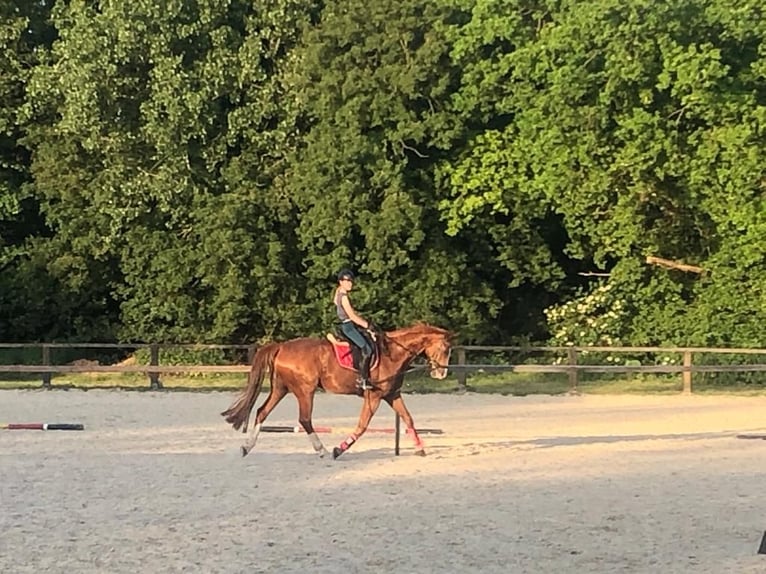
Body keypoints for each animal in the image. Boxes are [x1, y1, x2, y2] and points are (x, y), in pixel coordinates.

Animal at [220, 324, 456, 460]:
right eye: (445, 348)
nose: (441, 373)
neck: (393, 353)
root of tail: (281, 346)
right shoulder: (374, 397)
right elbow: (362, 426)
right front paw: (338, 450)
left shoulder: (392, 395)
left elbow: (408, 418)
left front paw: (420, 448)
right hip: (305, 391)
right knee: (304, 419)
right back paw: (322, 450)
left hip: (281, 388)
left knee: (262, 411)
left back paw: (247, 447)